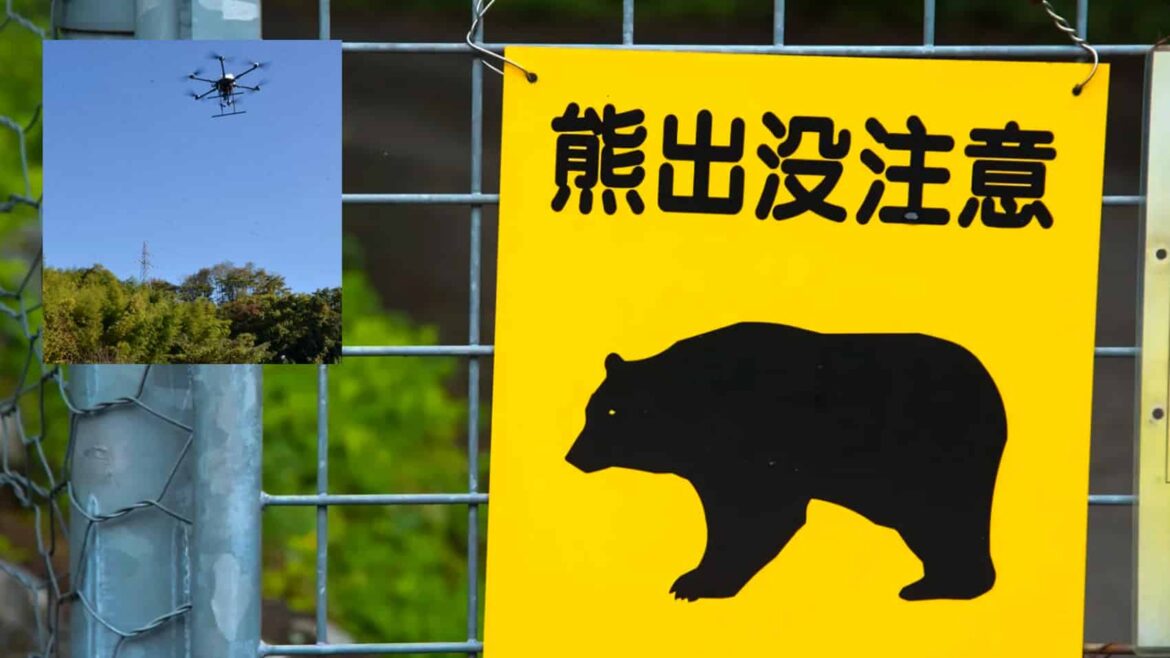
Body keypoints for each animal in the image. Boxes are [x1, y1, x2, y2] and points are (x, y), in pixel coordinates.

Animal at [565, 321, 1007, 603]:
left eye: (609, 413)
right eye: (590, 410)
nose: (572, 455)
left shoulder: (755, 445)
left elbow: (758, 514)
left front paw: (696, 583)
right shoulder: (711, 464)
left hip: (936, 456)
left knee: (946, 520)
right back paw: (932, 583)